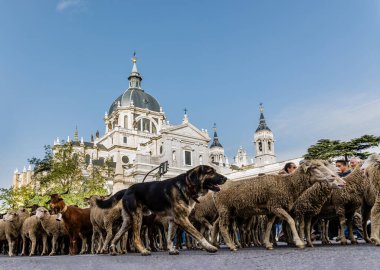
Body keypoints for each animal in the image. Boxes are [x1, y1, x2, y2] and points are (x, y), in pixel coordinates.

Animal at [96, 165, 227, 255]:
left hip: (127, 221)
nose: (225, 178)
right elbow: (198, 234)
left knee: (116, 236)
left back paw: (112, 250)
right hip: (137, 218)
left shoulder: (174, 220)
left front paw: (171, 249)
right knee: (135, 238)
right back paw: (143, 250)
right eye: (211, 172)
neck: (187, 185)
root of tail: (127, 189)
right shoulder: (182, 219)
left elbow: (169, 237)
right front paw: (209, 247)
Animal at [214, 159, 344, 250]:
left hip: (230, 212)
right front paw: (299, 242)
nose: (334, 176)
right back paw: (231, 246)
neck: (287, 184)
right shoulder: (276, 206)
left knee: (221, 226)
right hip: (224, 209)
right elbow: (291, 221)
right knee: (222, 227)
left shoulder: (272, 210)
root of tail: (218, 188)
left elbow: (269, 226)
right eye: (315, 167)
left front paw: (267, 244)